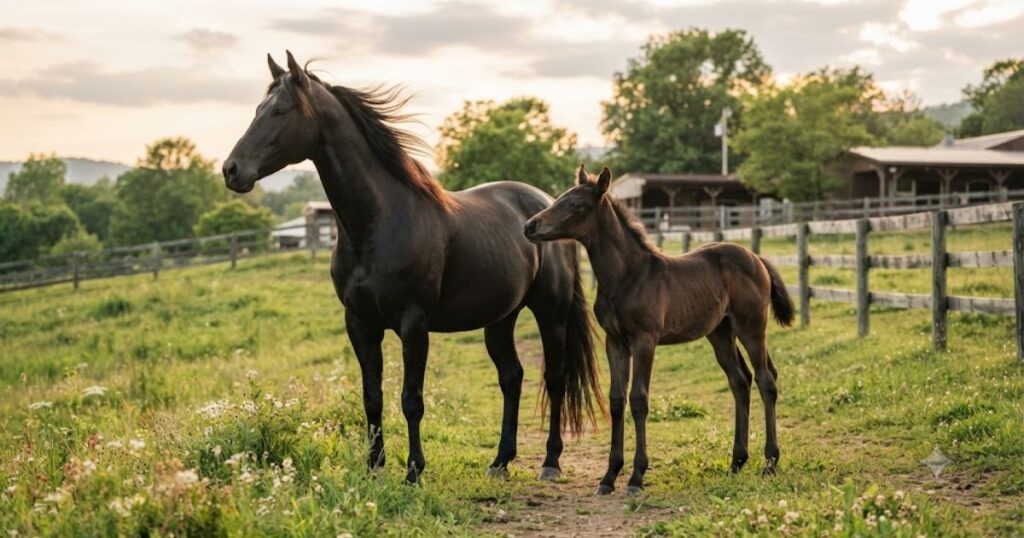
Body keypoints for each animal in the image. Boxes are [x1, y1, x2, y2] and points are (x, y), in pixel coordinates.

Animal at [222, 51, 605, 484]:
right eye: (258, 109)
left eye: (280, 110)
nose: (231, 170)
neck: (377, 222)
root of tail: (542, 206)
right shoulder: (359, 323)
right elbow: (372, 397)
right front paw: (374, 468)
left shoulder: (413, 324)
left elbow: (411, 400)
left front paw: (413, 471)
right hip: (500, 318)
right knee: (512, 378)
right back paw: (500, 461)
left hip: (550, 312)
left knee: (555, 379)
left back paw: (550, 461)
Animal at [524, 165, 794, 495]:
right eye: (561, 197)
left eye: (575, 205)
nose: (530, 226)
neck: (627, 276)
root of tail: (757, 259)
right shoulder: (615, 342)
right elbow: (617, 400)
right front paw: (609, 476)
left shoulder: (645, 341)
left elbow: (639, 400)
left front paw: (636, 477)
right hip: (720, 333)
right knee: (740, 381)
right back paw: (736, 462)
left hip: (751, 325)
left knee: (766, 380)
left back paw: (770, 462)